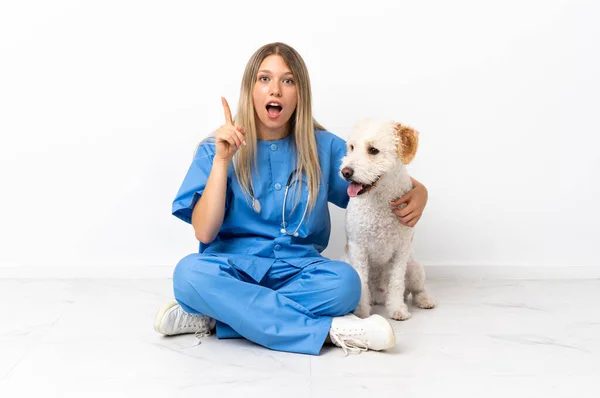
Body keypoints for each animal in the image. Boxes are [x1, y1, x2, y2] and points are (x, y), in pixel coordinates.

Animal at [340, 118, 434, 320]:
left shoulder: (401, 250)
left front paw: (398, 309)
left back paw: (424, 300)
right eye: (352, 147)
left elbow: (397, 282)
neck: (379, 201)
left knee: (417, 289)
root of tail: (379, 298)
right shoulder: (358, 249)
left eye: (373, 150)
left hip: (414, 267)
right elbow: (360, 280)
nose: (345, 172)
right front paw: (361, 313)